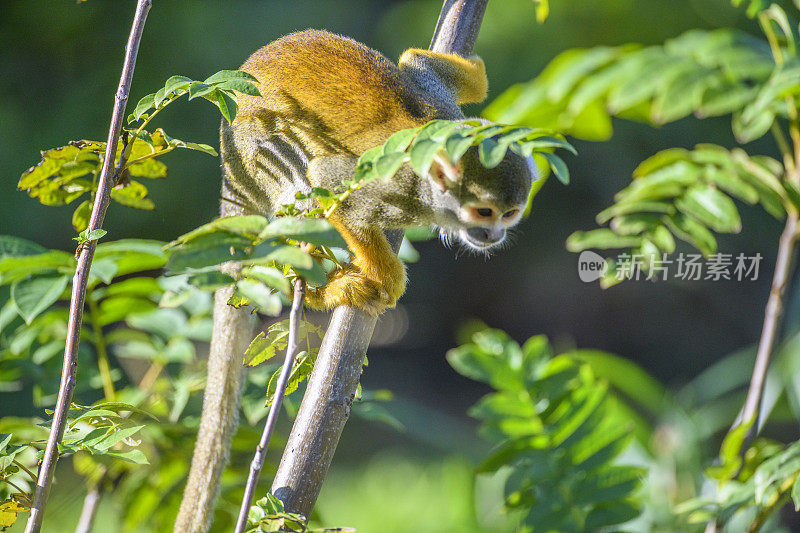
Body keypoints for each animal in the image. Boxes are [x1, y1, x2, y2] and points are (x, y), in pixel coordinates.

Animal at [220, 29, 532, 314]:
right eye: (484, 212)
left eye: (509, 214)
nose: (494, 235)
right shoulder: (397, 184)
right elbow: (325, 176)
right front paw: (386, 274)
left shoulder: (441, 104)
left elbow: (421, 63)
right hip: (255, 150)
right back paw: (324, 293)